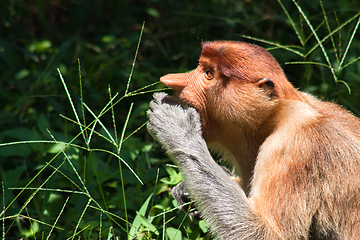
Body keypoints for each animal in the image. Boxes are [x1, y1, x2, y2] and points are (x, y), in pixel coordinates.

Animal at [146, 40, 360, 239]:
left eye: (208, 73)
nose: (170, 81)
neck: (274, 117)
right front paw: (185, 192)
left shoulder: (294, 147)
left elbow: (266, 233)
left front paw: (177, 126)